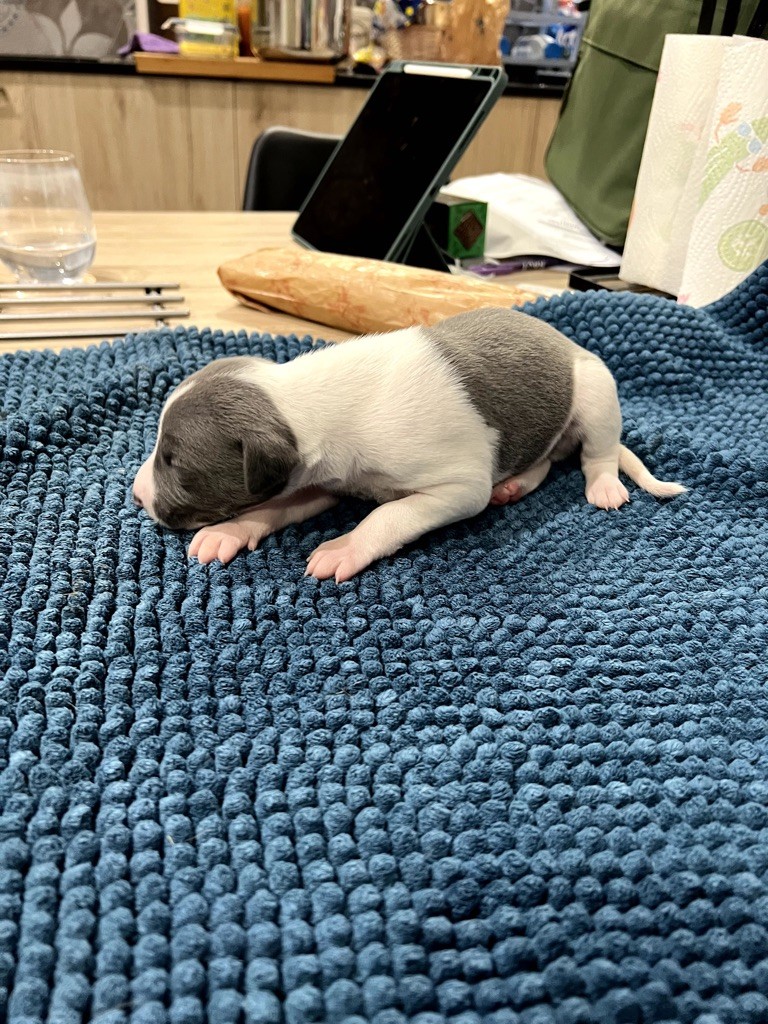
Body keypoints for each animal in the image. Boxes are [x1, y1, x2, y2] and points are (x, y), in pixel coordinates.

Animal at [132, 307, 686, 582]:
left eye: (173, 462)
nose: (136, 494)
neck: (305, 399)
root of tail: (567, 341)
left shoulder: (457, 486)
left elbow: (388, 514)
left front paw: (345, 545)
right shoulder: (321, 479)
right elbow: (274, 505)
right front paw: (230, 530)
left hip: (595, 389)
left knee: (598, 451)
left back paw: (604, 485)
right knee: (544, 460)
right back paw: (516, 484)